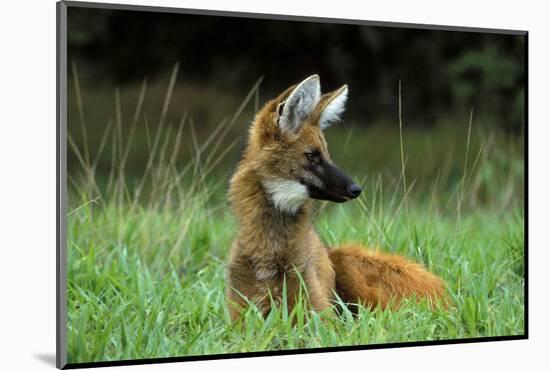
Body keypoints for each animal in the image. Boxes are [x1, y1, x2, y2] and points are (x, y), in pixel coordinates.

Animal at [226, 74, 446, 318]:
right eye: (312, 155)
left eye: (327, 154)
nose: (356, 189)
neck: (269, 255)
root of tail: (445, 293)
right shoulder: (241, 317)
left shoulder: (319, 313)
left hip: (346, 260)